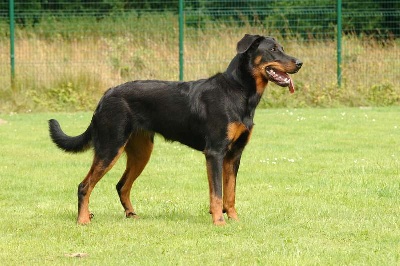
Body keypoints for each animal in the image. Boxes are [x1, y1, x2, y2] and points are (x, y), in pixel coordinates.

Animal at [48, 33, 302, 224]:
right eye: (273, 50)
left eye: (282, 48)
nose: (300, 63)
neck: (239, 91)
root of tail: (105, 95)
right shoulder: (215, 153)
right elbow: (217, 193)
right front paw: (219, 222)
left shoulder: (234, 155)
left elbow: (230, 194)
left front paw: (234, 220)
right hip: (110, 147)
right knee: (84, 185)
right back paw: (83, 220)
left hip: (141, 152)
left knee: (122, 185)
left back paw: (131, 215)